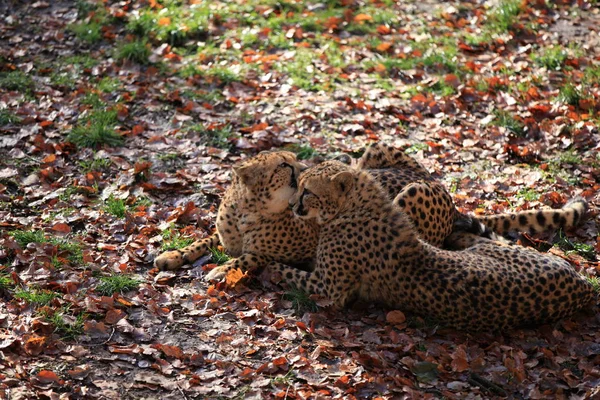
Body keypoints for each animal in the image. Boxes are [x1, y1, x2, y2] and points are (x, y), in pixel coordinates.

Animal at [270, 160, 596, 332]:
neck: (356, 207)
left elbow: (285, 271)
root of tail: (584, 285)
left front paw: (264, 267)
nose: (292, 205)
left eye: (307, 191)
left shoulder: (328, 289)